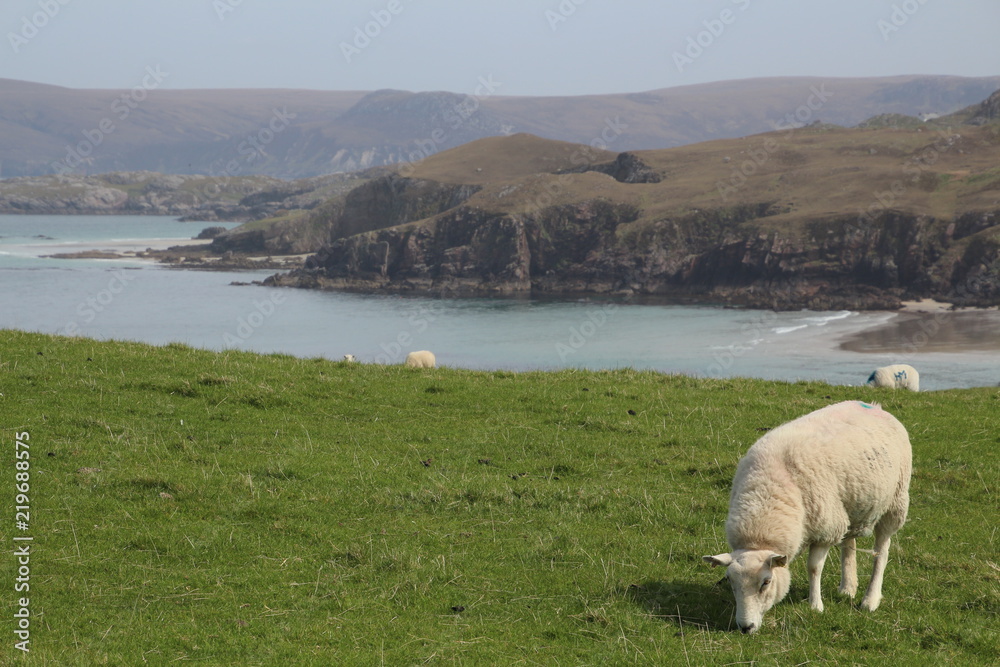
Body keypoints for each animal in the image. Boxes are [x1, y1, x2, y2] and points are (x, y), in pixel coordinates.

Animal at [704, 400, 912, 634]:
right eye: (729, 581)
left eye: (766, 582)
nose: (745, 627)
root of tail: (875, 406)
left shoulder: (825, 529)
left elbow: (813, 568)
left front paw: (815, 606)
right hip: (849, 505)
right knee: (849, 543)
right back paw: (847, 587)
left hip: (895, 502)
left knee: (882, 552)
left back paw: (870, 599)